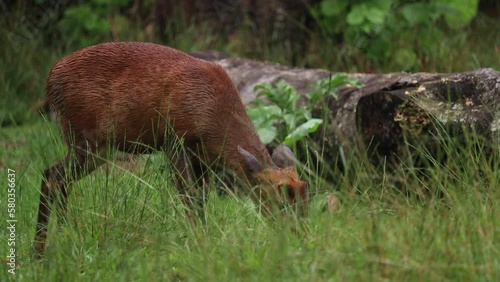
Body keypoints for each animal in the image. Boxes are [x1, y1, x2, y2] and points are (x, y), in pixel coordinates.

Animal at [33, 41, 306, 256]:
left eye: (306, 203)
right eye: (280, 201)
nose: (299, 235)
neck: (213, 118)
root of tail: (49, 80)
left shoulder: (202, 157)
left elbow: (201, 200)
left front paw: (204, 239)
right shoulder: (174, 140)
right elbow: (190, 198)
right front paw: (200, 244)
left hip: (100, 148)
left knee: (56, 177)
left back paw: (66, 235)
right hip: (83, 136)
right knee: (52, 177)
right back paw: (40, 250)